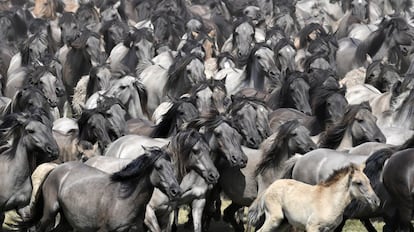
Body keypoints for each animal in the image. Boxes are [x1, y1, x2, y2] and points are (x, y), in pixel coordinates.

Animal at [21, 146, 181, 231]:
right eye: (158, 167)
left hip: (66, 220)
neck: (124, 200)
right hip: (50, 212)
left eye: (173, 166)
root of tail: (55, 168)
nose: (176, 191)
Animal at [247, 163, 380, 232]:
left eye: (369, 181)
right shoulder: (312, 227)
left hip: (283, 223)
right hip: (275, 218)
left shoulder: (329, 230)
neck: (330, 201)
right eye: (358, 183)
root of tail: (269, 188)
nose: (376, 201)